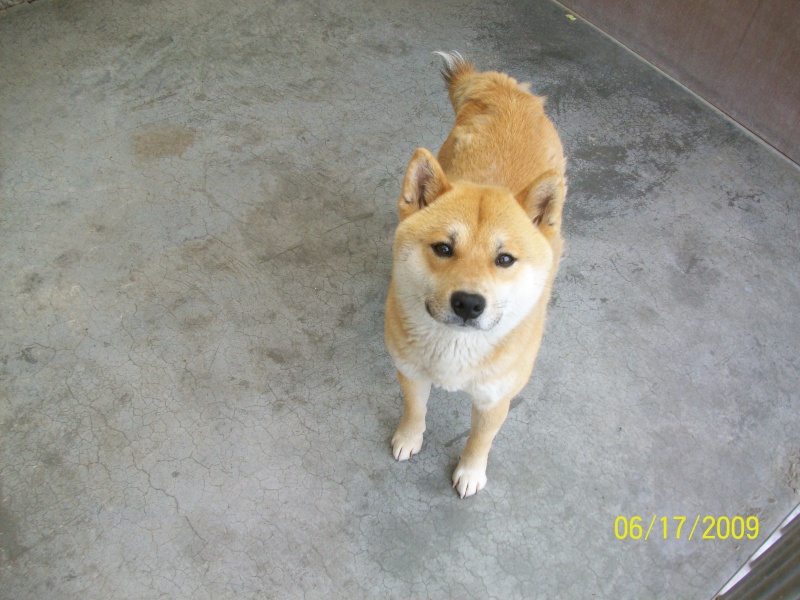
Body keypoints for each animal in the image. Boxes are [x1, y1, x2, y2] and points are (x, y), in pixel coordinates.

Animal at [384, 51, 564, 500]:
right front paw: (409, 437)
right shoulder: (410, 371)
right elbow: (415, 409)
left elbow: (480, 439)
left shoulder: (494, 397)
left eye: (505, 259)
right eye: (443, 249)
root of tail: (510, 91)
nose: (468, 303)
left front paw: (470, 471)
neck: (455, 351)